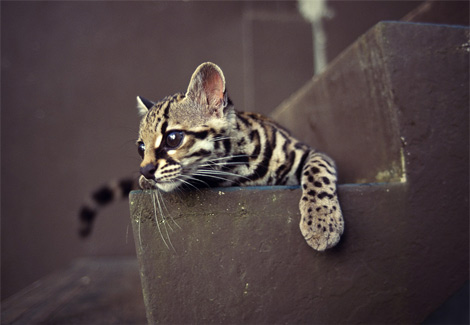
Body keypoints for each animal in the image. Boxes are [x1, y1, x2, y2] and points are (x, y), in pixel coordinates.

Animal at [81, 62, 344, 251]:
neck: (239, 169)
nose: (144, 170)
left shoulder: (309, 152)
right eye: (140, 148)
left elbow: (317, 171)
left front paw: (322, 222)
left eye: (173, 138)